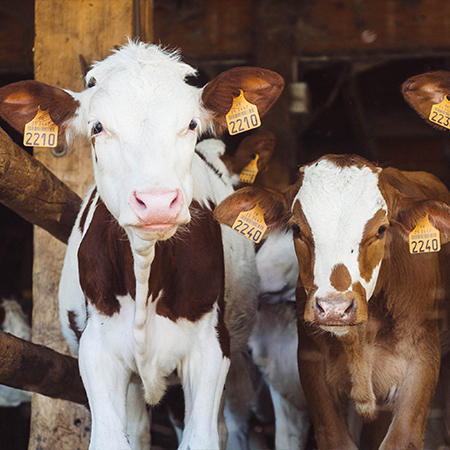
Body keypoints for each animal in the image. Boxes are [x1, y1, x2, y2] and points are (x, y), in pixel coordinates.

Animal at [0, 40, 284, 448]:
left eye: (191, 124)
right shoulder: (97, 351)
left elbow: (201, 436)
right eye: (97, 127)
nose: (157, 201)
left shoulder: (211, 349)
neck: (145, 268)